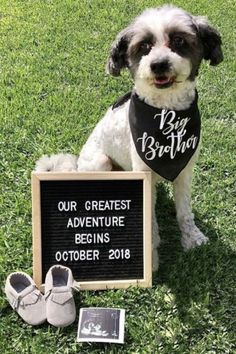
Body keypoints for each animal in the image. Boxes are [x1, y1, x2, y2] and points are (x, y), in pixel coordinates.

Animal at [36, 4, 223, 272]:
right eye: (144, 46)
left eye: (179, 41)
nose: (159, 64)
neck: (166, 115)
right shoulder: (144, 169)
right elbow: (150, 217)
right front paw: (151, 251)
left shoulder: (185, 170)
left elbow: (184, 211)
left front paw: (192, 238)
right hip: (101, 162)